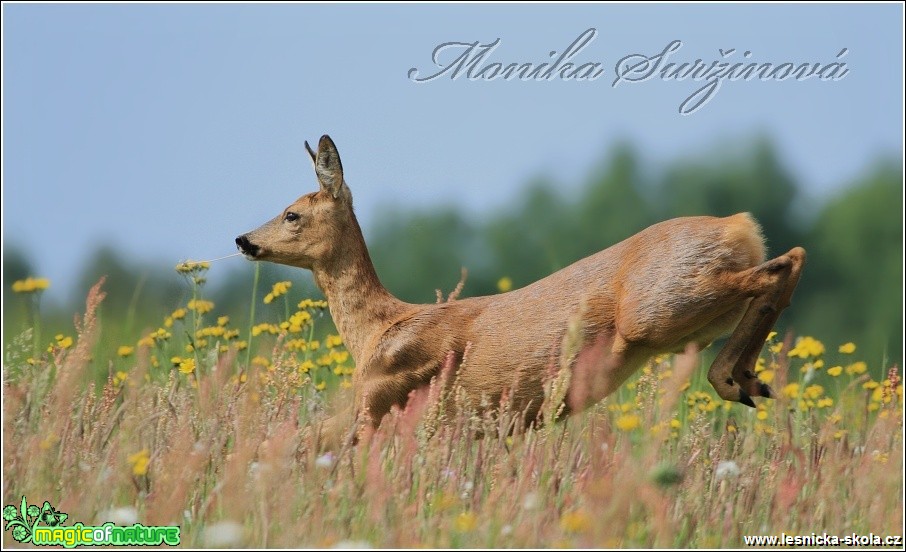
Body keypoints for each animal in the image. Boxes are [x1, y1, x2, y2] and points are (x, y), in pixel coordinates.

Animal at [235, 136, 804, 450]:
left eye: (292, 214)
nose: (243, 240)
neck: (378, 330)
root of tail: (738, 227)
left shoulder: (380, 398)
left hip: (660, 306)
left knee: (783, 264)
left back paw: (732, 379)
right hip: (687, 317)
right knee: (785, 263)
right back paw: (747, 380)